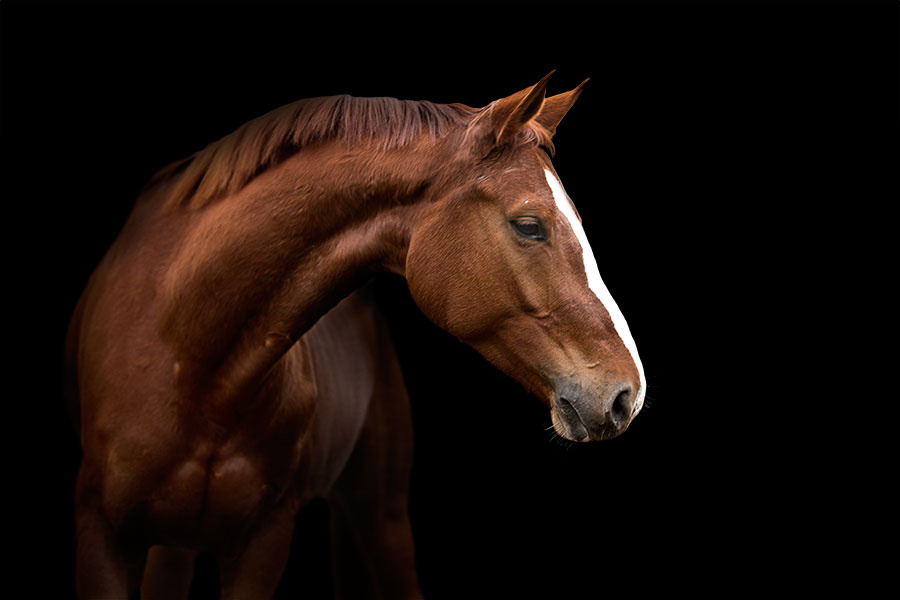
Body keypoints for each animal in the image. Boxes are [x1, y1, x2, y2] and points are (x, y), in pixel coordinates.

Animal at [67, 72, 648, 596]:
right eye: (529, 225)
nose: (628, 394)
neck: (187, 353)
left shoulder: (263, 542)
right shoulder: (101, 536)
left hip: (381, 516)